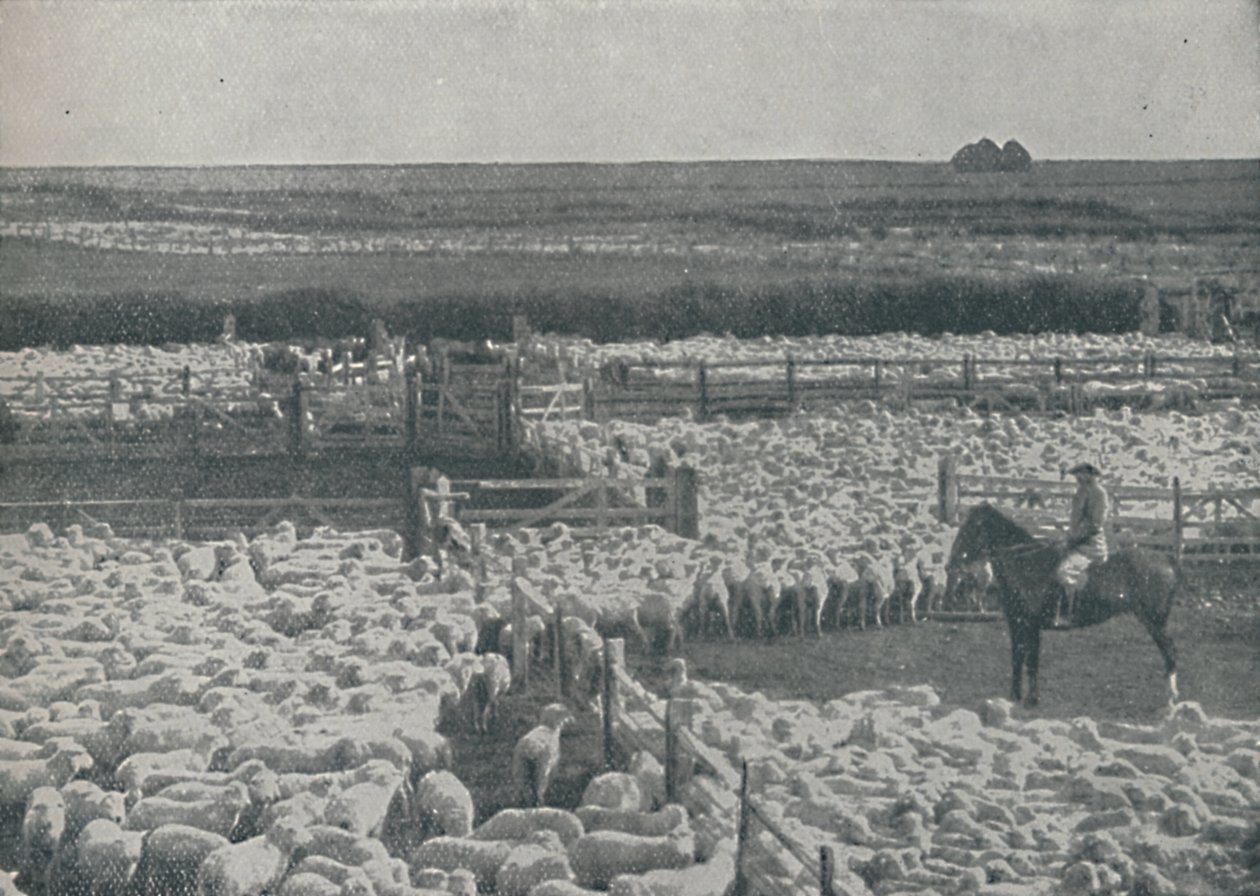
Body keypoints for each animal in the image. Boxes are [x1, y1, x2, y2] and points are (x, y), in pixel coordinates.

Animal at [947, 504, 1179, 705]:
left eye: (973, 528)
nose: (951, 563)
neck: (1028, 565)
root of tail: (1166, 559)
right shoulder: (1016, 623)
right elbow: (1017, 659)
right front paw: (1014, 697)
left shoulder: (1031, 624)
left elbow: (1032, 661)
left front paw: (1032, 700)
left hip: (1155, 621)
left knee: (1170, 652)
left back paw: (1171, 700)